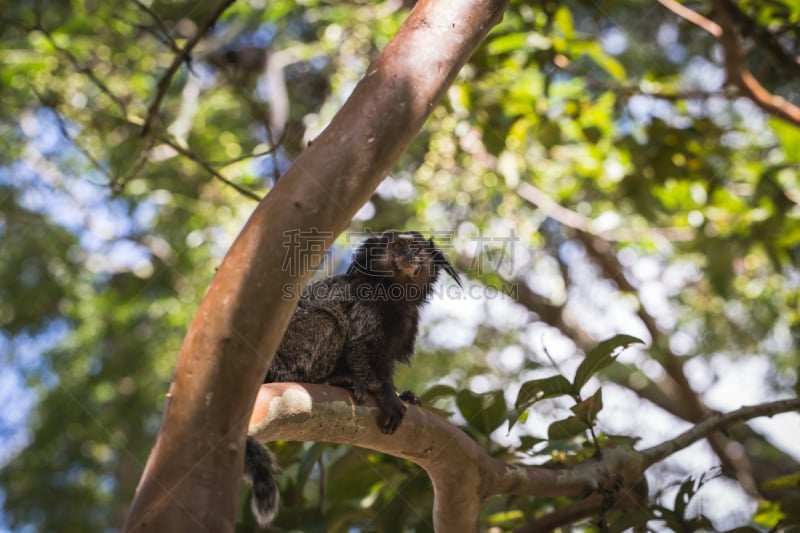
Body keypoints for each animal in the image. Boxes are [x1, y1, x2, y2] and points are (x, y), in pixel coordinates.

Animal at [244, 231, 460, 524]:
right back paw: (332, 380)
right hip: (289, 351)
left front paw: (402, 394)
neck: (395, 295)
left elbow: (384, 363)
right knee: (329, 319)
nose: (408, 255)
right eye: (396, 246)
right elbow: (360, 348)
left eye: (415, 247)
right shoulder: (367, 308)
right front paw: (387, 397)